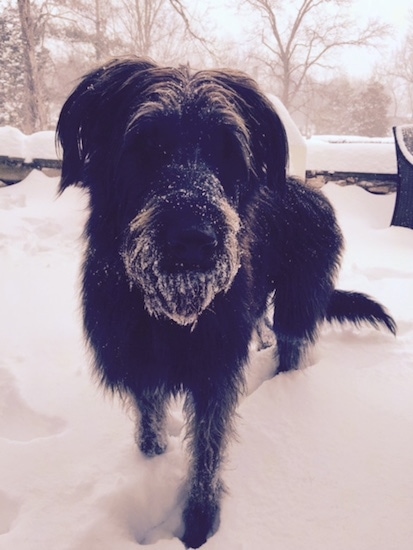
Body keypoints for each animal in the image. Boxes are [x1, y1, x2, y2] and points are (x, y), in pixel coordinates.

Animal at [56, 58, 394, 548]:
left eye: (227, 152)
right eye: (146, 145)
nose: (194, 241)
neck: (171, 317)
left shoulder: (214, 373)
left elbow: (207, 452)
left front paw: (199, 525)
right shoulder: (138, 363)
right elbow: (150, 423)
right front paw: (152, 460)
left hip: (297, 300)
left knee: (291, 344)